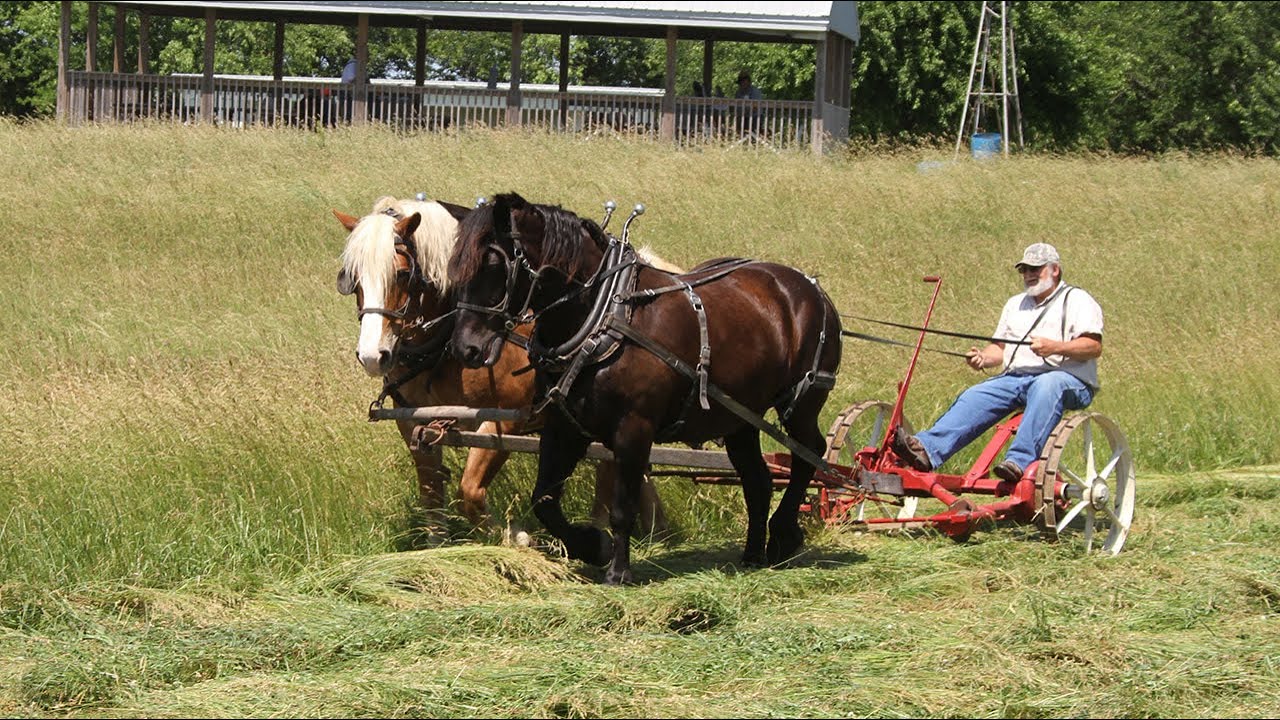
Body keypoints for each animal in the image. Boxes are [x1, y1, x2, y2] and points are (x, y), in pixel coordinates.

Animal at [334, 195, 673, 535]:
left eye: (403, 274)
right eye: (352, 276)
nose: (372, 355)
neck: (446, 344)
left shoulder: (504, 422)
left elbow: (469, 492)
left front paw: (516, 538)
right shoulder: (412, 423)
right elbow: (432, 504)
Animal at [447, 192, 842, 584]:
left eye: (494, 263)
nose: (465, 348)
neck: (604, 315)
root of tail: (809, 287)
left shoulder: (633, 428)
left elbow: (623, 508)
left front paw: (618, 571)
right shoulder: (564, 428)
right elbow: (544, 501)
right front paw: (593, 546)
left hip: (801, 402)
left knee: (810, 453)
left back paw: (783, 535)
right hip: (740, 416)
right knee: (758, 480)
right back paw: (752, 555)